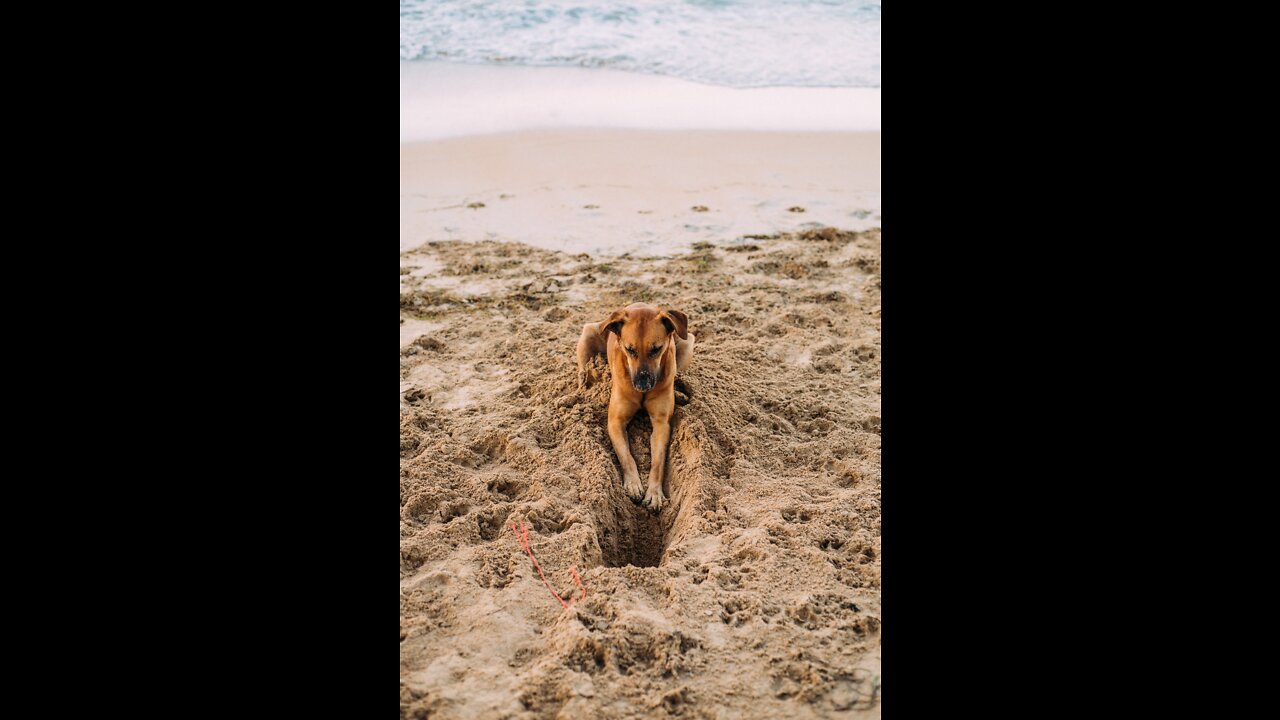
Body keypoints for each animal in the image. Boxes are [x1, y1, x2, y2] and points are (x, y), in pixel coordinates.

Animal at [581, 302, 696, 509]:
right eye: (630, 349)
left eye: (656, 349)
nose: (642, 384)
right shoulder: (615, 422)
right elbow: (626, 456)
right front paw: (633, 484)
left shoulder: (661, 424)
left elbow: (657, 462)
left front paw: (655, 492)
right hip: (588, 334)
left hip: (687, 342)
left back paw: (680, 393)